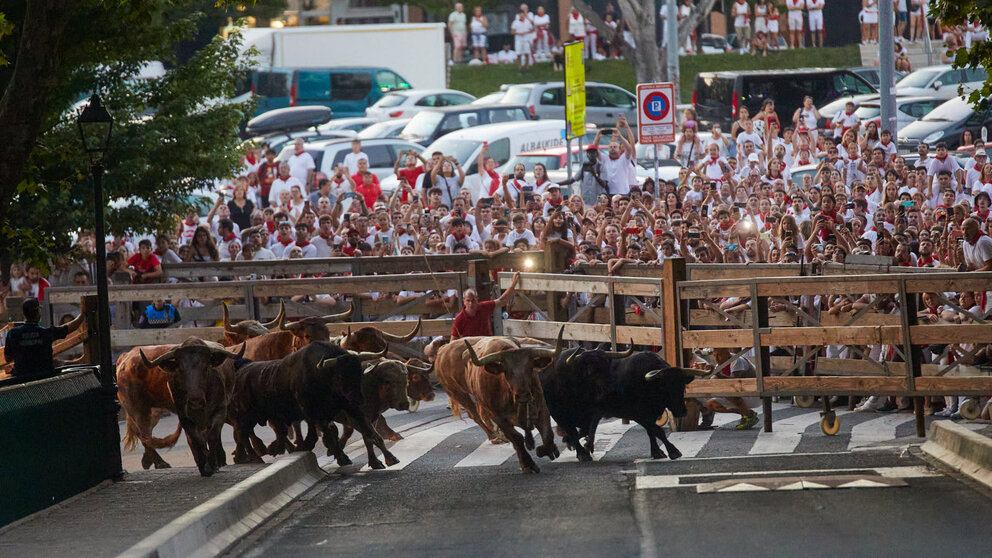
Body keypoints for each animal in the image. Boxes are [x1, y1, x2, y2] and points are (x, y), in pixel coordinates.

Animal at [436, 332, 560, 476]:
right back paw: (495, 436)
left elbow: (547, 433)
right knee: (475, 414)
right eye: (507, 370)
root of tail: (442, 349)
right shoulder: (498, 417)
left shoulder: (541, 407)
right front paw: (528, 464)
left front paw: (548, 450)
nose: (523, 394)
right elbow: (516, 438)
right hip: (457, 393)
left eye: (530, 368)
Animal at [544, 350, 696, 464]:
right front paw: (673, 451)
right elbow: (657, 431)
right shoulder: (638, 414)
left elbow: (651, 431)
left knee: (585, 428)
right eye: (666, 388)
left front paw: (657, 452)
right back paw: (582, 450)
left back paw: (584, 445)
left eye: (682, 387)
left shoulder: (650, 414)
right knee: (575, 430)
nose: (682, 411)